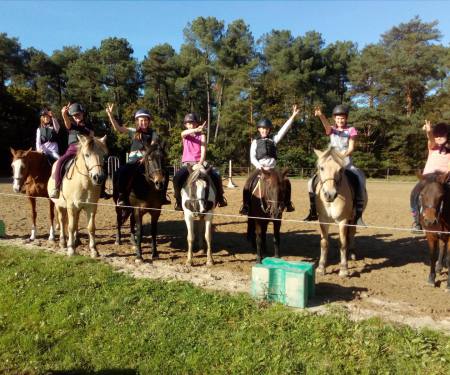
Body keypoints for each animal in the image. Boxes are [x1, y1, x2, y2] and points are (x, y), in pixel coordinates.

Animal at [314, 146, 368, 276]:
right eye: (321, 168)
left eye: (340, 169)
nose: (330, 194)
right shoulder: (323, 220)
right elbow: (324, 242)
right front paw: (321, 267)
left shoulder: (343, 220)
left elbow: (343, 243)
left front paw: (344, 269)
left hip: (353, 218)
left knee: (352, 233)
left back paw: (352, 253)